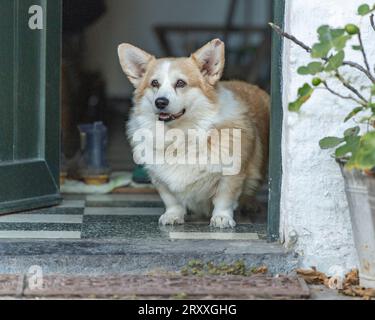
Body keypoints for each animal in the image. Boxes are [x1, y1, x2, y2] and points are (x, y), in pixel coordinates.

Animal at [119, 38, 268, 228]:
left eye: (180, 83)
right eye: (154, 83)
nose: (160, 102)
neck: (180, 135)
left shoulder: (231, 175)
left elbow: (224, 199)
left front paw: (221, 218)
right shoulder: (160, 179)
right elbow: (171, 200)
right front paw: (173, 215)